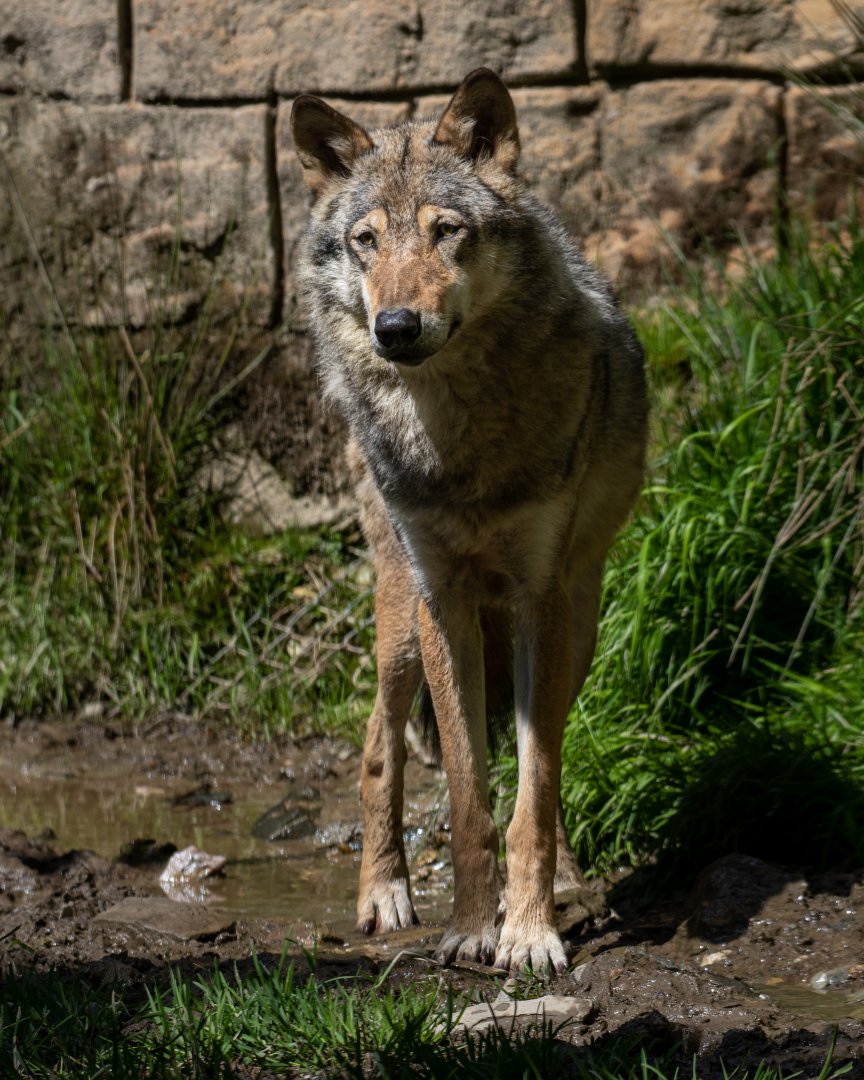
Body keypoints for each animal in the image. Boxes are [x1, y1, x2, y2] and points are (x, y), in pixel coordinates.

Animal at [291, 68, 647, 973]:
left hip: (580, 620)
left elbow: (534, 788)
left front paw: (529, 931)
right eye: (366, 241)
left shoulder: (537, 600)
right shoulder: (442, 598)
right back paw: (384, 893)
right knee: (377, 745)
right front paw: (471, 928)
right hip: (400, 619)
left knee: (539, 754)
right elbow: (464, 792)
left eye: (446, 232)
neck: (457, 440)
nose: (394, 328)